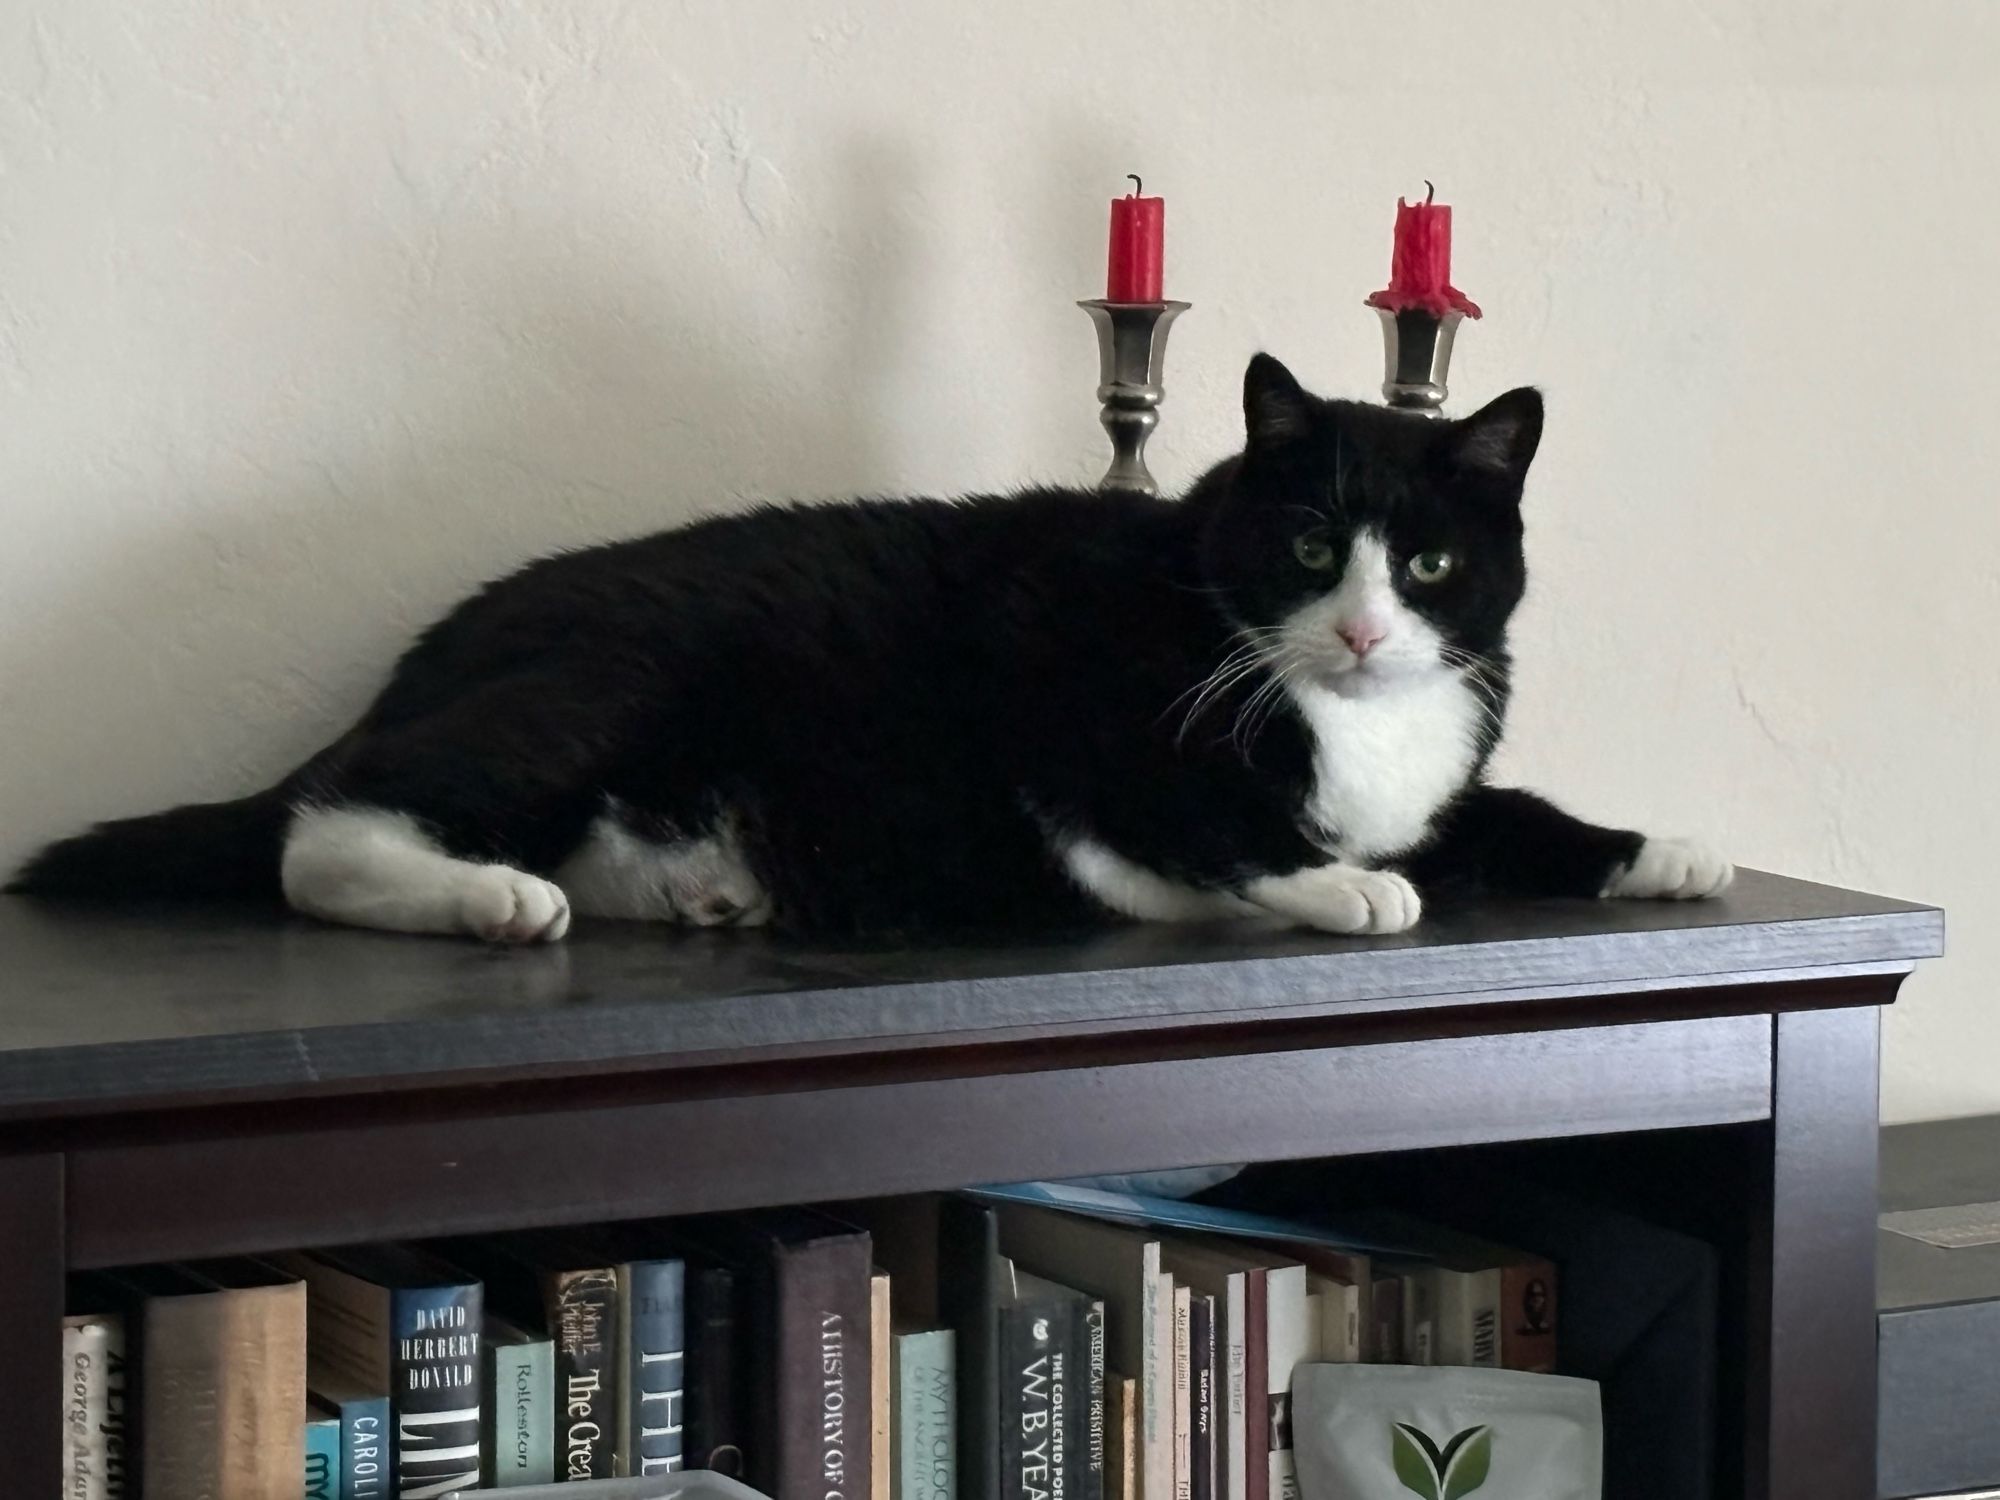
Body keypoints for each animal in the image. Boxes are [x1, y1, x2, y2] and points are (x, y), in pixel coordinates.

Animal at [7, 356, 1728, 940]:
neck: (1341, 716)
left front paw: (1670, 848)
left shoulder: (1444, 763)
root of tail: (422, 652)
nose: (1367, 628)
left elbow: (1504, 810)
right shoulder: (1083, 727)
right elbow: (1217, 824)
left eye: (1431, 563)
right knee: (325, 833)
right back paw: (490, 898)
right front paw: (1350, 885)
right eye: (1310, 547)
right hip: (603, 681)